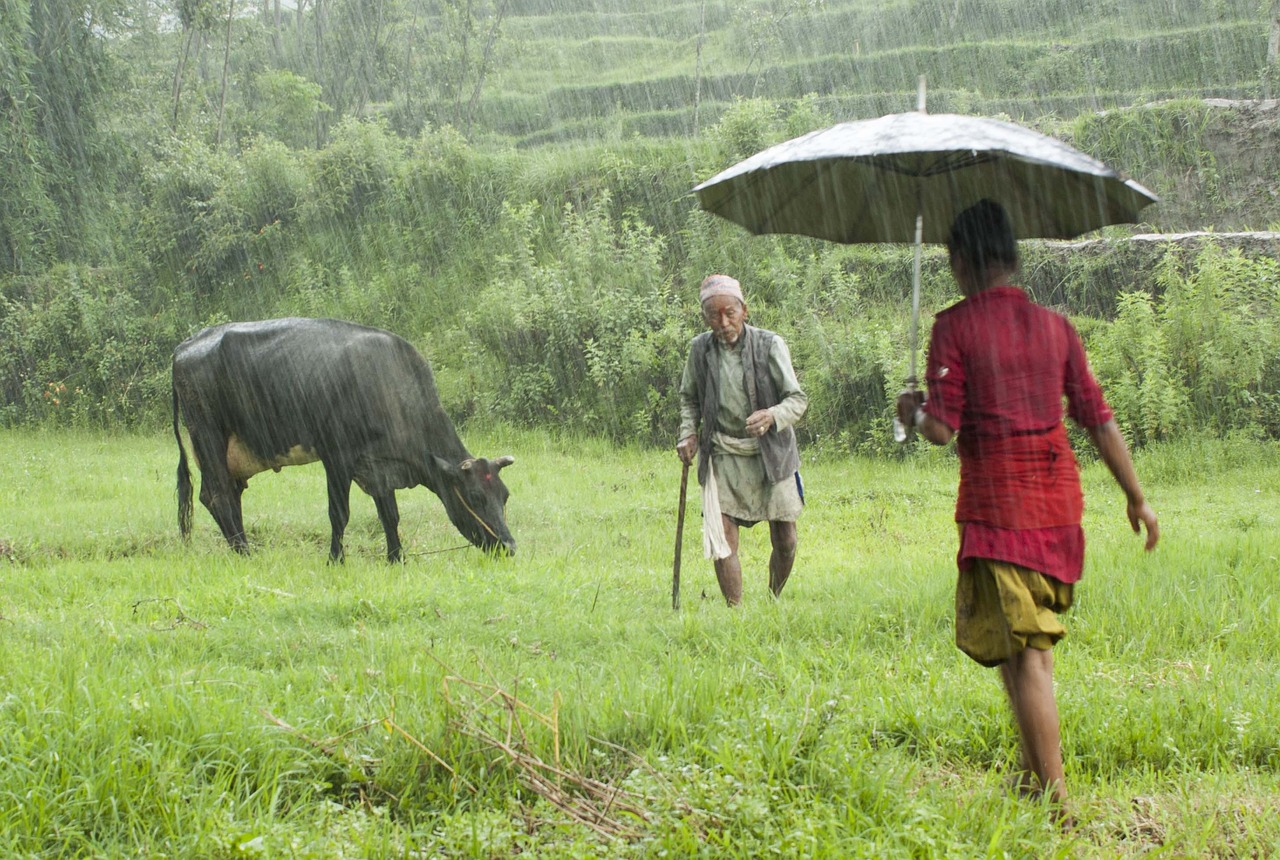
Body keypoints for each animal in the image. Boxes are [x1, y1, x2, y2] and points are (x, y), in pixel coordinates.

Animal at [172, 318, 517, 560]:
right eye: (475, 496)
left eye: (505, 495)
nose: (509, 546)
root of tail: (186, 345)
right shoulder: (337, 455)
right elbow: (339, 514)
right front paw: (335, 560)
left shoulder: (379, 465)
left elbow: (390, 515)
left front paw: (397, 558)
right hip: (208, 436)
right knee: (216, 496)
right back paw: (244, 553)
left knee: (230, 496)